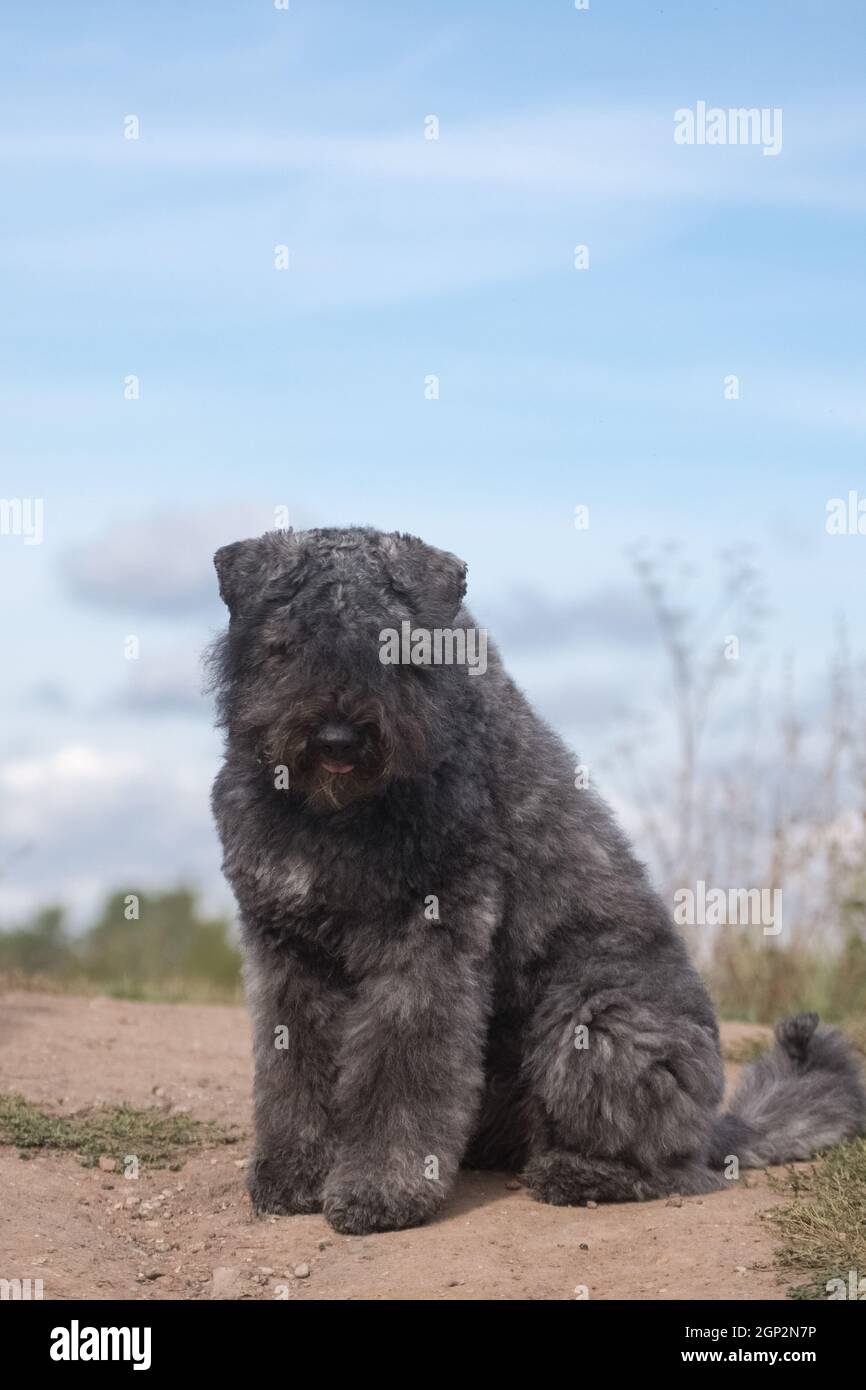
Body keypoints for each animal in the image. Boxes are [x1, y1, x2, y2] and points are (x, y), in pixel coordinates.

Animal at [209, 525, 866, 1234]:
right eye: (287, 641)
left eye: (392, 643)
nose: (337, 737)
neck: (334, 814)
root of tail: (714, 1126)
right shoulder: (285, 941)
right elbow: (291, 1064)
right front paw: (293, 1173)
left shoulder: (426, 939)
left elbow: (401, 1063)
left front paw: (381, 1189)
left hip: (597, 1025)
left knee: (672, 1166)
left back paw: (577, 1174)